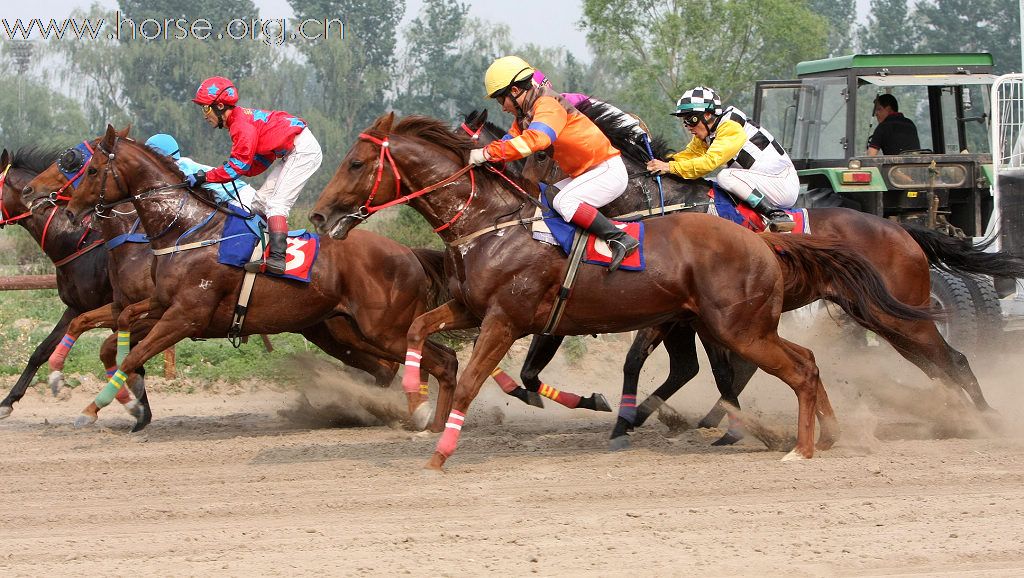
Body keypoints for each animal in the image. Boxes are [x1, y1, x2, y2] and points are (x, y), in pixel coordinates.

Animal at [51, 127, 460, 434]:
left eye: (90, 170)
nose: (69, 211)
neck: (185, 229)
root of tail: (409, 253)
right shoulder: (161, 305)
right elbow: (108, 328)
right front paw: (113, 395)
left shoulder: (185, 317)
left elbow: (132, 352)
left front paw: (94, 407)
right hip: (344, 331)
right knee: (403, 364)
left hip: (382, 328)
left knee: (440, 359)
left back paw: (425, 416)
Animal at [307, 114, 933, 469]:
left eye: (356, 162)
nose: (318, 216)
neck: (493, 223)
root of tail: (764, 242)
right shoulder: (469, 306)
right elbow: (421, 330)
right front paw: (414, 398)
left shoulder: (507, 318)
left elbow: (472, 381)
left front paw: (441, 452)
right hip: (731, 325)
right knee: (799, 362)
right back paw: (819, 436)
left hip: (740, 327)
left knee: (800, 367)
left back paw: (800, 448)